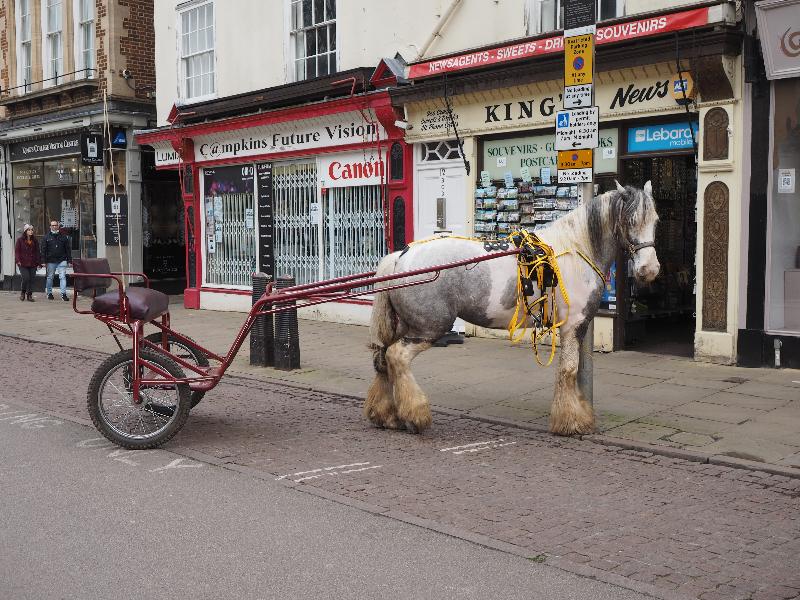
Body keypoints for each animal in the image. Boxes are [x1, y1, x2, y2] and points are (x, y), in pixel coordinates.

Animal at [365, 181, 660, 436]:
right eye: (631, 221)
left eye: (655, 220)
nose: (649, 270)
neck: (576, 249)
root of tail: (400, 256)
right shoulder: (573, 325)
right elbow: (569, 370)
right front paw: (572, 422)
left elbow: (570, 372)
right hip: (428, 327)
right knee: (397, 357)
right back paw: (415, 415)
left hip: (405, 324)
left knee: (382, 360)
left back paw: (386, 415)